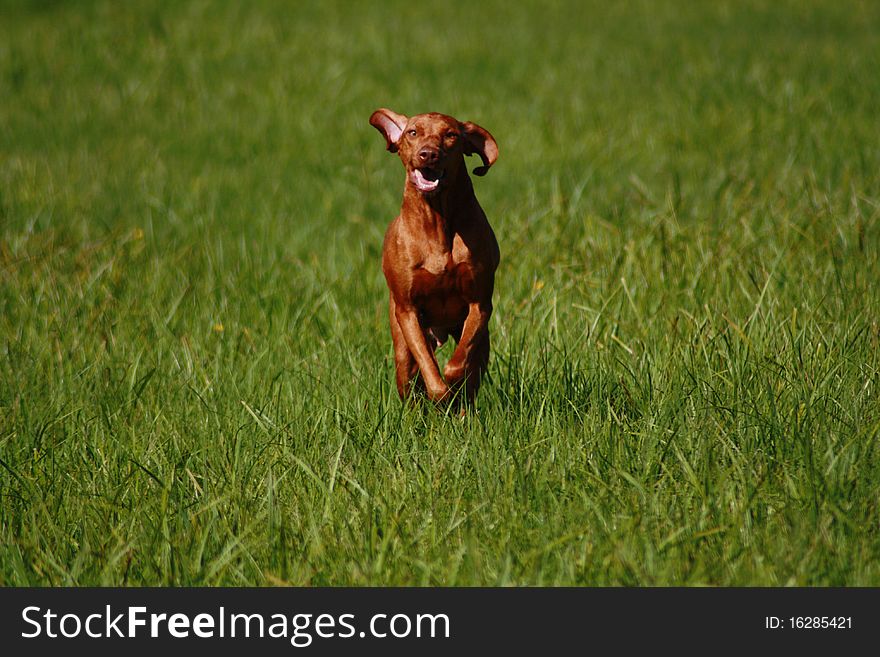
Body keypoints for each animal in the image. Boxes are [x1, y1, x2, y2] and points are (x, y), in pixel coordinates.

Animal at [368, 107, 498, 404]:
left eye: (450, 135)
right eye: (413, 132)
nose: (428, 154)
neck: (436, 223)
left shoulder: (479, 305)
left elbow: (460, 363)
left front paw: (454, 383)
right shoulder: (408, 312)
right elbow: (429, 368)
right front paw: (440, 393)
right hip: (401, 348)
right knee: (409, 378)